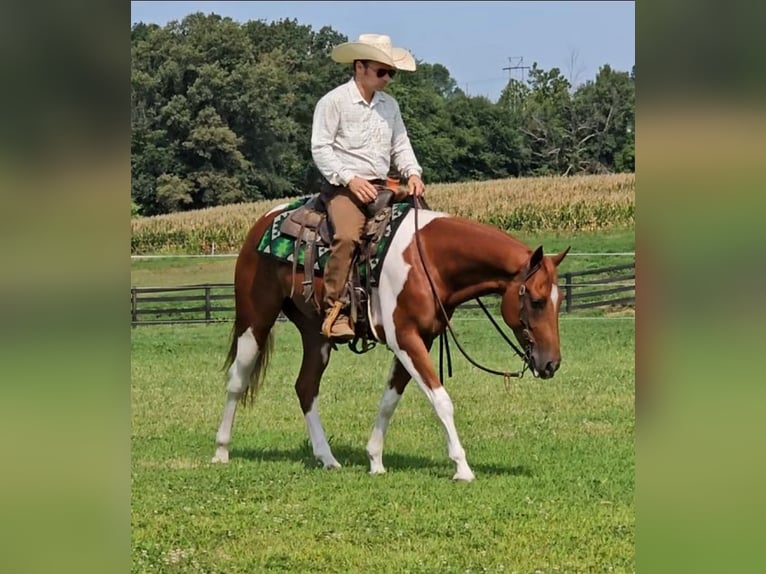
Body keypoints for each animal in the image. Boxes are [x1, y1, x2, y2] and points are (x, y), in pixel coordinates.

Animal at [211, 199, 569, 481]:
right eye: (538, 301)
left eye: (559, 300)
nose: (551, 364)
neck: (430, 261)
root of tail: (262, 222)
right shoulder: (406, 339)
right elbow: (441, 400)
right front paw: (462, 467)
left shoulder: (420, 339)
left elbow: (389, 400)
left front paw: (375, 459)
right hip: (255, 319)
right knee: (237, 380)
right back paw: (221, 451)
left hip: (316, 334)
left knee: (306, 387)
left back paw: (327, 458)